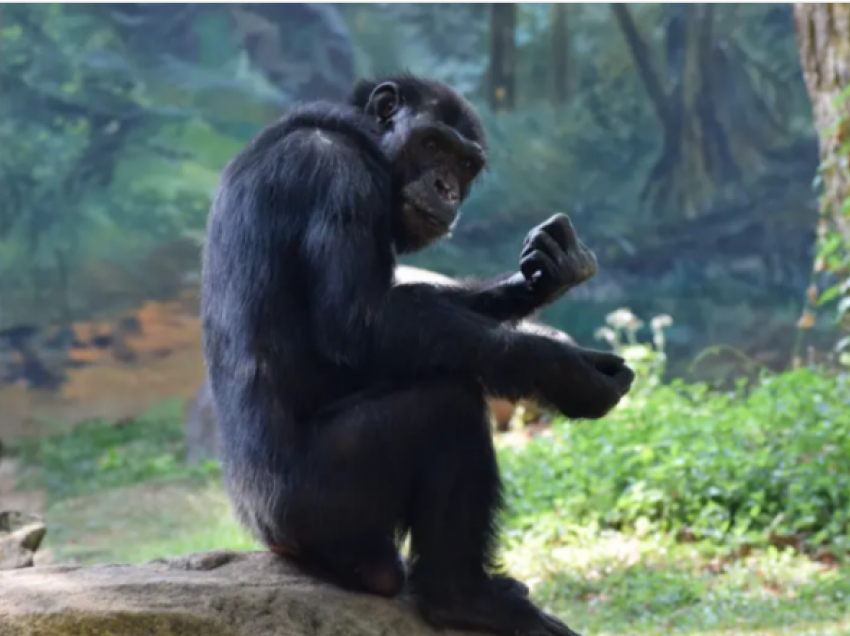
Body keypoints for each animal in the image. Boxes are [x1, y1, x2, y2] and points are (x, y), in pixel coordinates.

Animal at [202, 76, 632, 636]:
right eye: (432, 145)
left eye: (465, 164)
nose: (447, 186)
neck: (358, 136)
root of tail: (264, 532)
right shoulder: (337, 176)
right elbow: (358, 324)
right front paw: (564, 370)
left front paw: (550, 271)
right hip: (314, 502)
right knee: (446, 407)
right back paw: (464, 597)